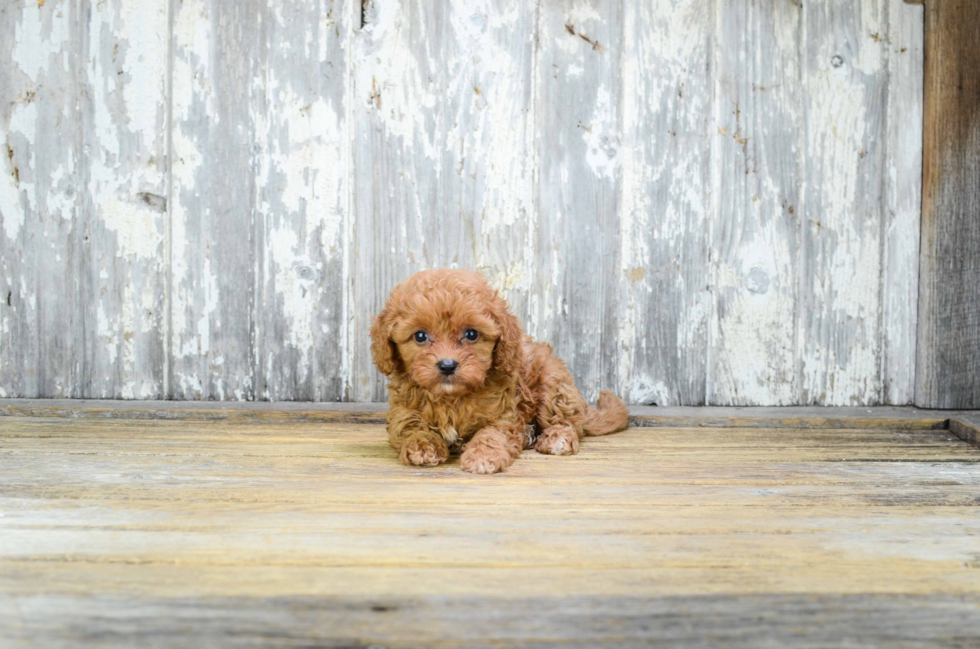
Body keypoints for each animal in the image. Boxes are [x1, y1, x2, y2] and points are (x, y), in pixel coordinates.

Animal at [372, 266, 632, 474]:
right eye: (420, 336)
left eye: (471, 334)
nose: (447, 365)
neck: (452, 397)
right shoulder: (403, 411)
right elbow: (411, 427)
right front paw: (422, 446)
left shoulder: (504, 414)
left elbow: (491, 434)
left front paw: (483, 457)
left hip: (553, 384)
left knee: (568, 422)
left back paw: (557, 438)